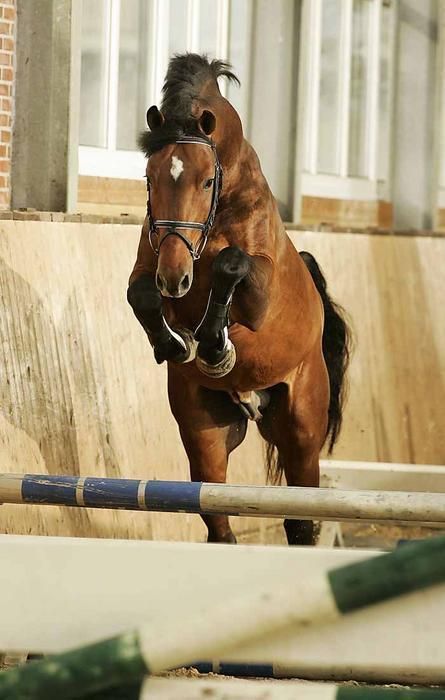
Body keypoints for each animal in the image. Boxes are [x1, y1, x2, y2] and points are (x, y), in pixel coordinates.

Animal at [126, 54, 348, 548]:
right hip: (204, 429)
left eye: (208, 181)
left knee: (299, 519)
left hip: (301, 428)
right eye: (149, 177)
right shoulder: (150, 265)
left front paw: (214, 347)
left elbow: (232, 264)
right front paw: (175, 344)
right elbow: (140, 294)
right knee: (218, 521)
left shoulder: (257, 289)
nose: (176, 279)